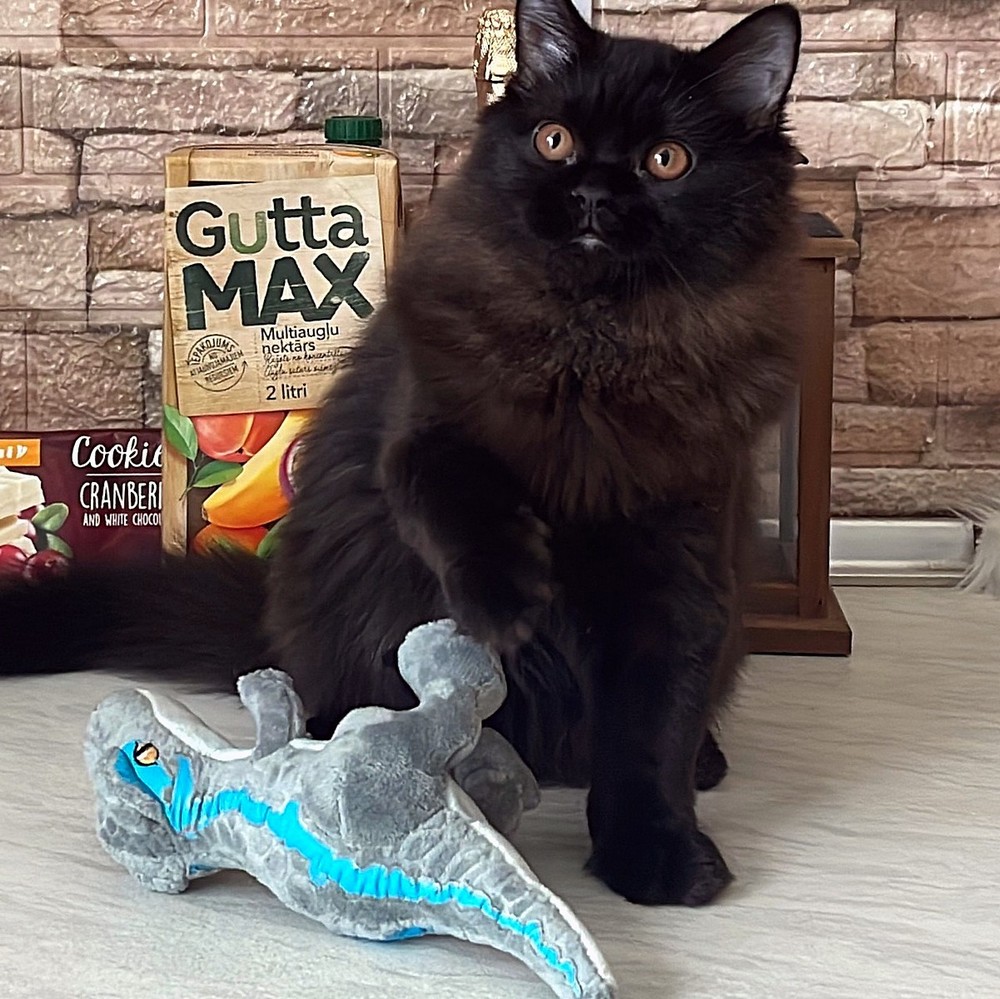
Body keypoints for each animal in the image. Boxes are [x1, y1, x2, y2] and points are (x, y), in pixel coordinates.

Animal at [1, 0, 804, 907]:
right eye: (555, 140)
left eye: (667, 161)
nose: (594, 193)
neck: (589, 349)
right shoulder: (418, 431)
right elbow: (457, 493)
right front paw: (509, 602)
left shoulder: (680, 565)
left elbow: (651, 735)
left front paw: (658, 854)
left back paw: (705, 760)